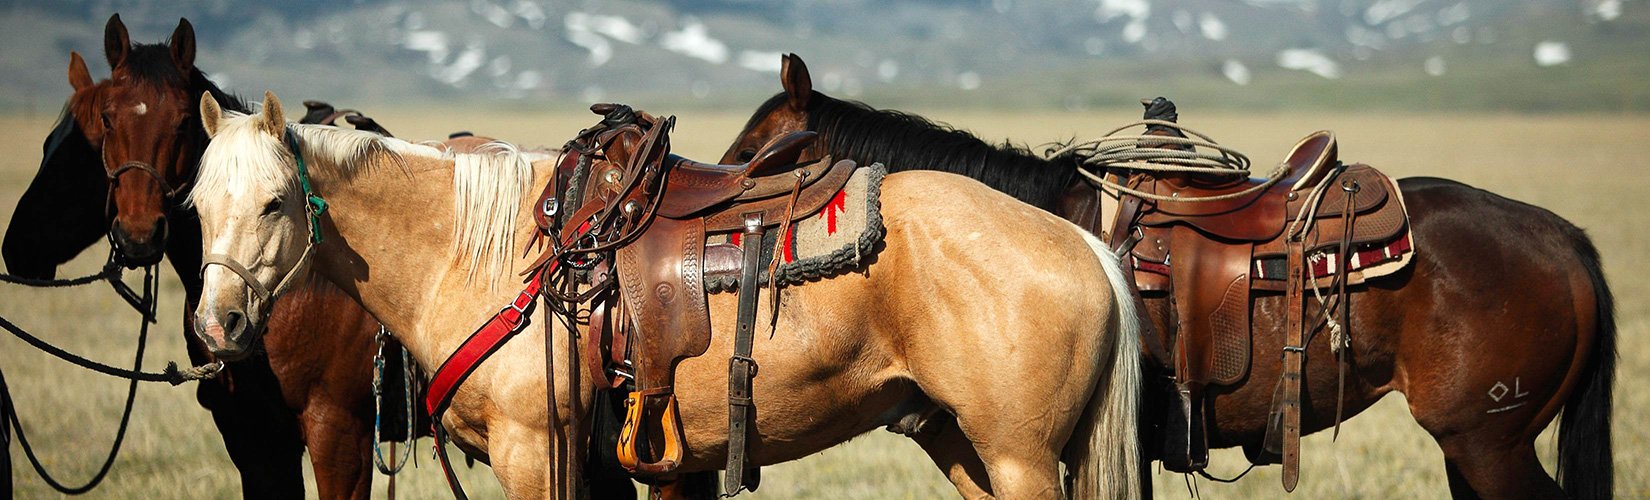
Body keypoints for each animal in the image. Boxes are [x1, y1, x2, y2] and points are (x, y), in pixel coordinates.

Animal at [185, 90, 1144, 498]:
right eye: (195, 204)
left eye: (275, 202)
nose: (216, 324)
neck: (482, 257)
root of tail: (1087, 246)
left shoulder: (536, 451)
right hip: (960, 441)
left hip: (1019, 457)